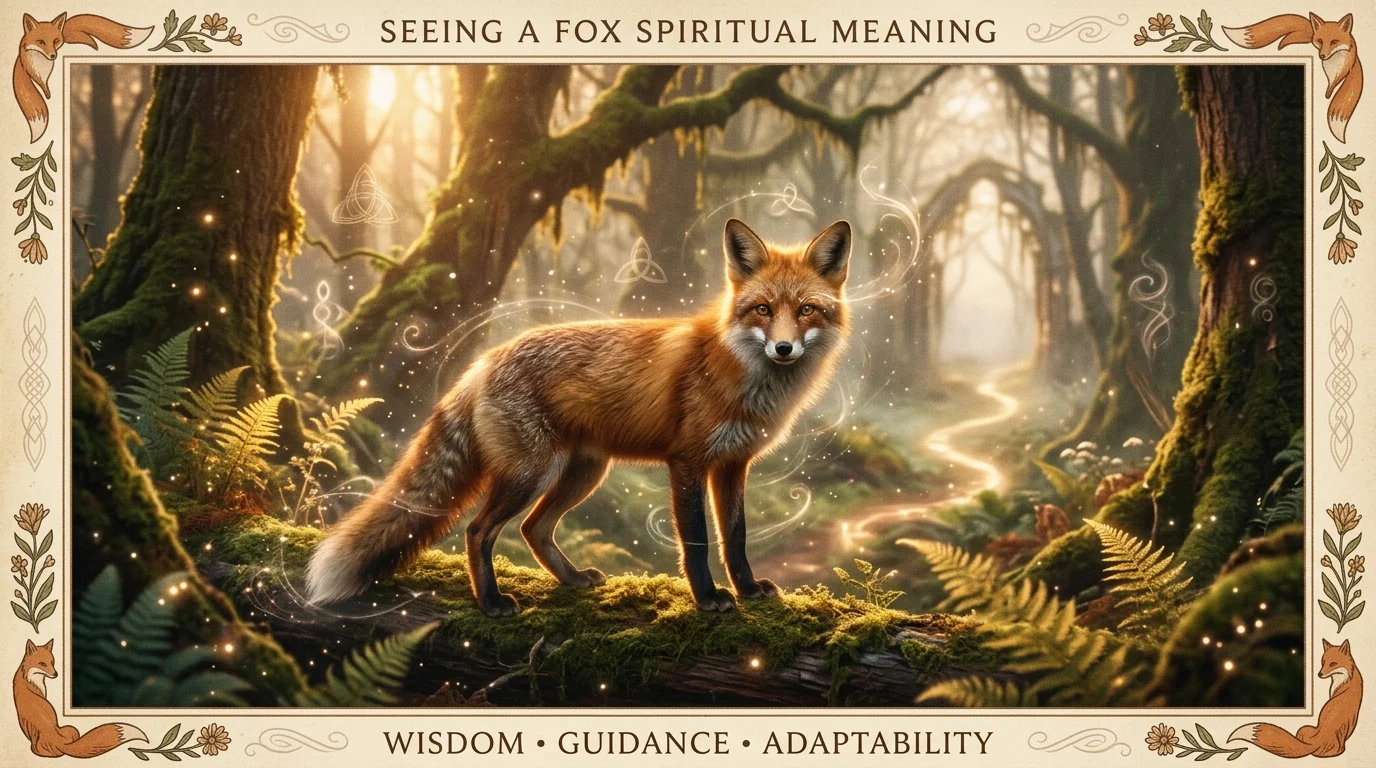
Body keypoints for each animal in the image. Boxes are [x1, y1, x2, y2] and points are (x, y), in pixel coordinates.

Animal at [13, 638, 147, 758]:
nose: (56, 674)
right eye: (42, 664)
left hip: (71, 729)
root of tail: (59, 743)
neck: (30, 679)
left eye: (52, 662)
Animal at [307, 218, 852, 616]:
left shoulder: (734, 464)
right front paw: (708, 599)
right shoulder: (688, 462)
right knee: (479, 531)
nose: (783, 349)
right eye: (762, 309)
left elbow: (735, 538)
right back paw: (491, 603)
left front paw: (747, 589)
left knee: (534, 529)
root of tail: (484, 361)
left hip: (583, 473)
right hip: (532, 473)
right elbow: (697, 541)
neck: (744, 380)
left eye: (807, 310)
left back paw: (570, 579)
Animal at [1229, 638, 1362, 758]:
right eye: (1323, 662)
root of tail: (1316, 743)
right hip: (1304, 729)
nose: (1319, 674)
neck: (1346, 678)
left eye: (1333, 664)